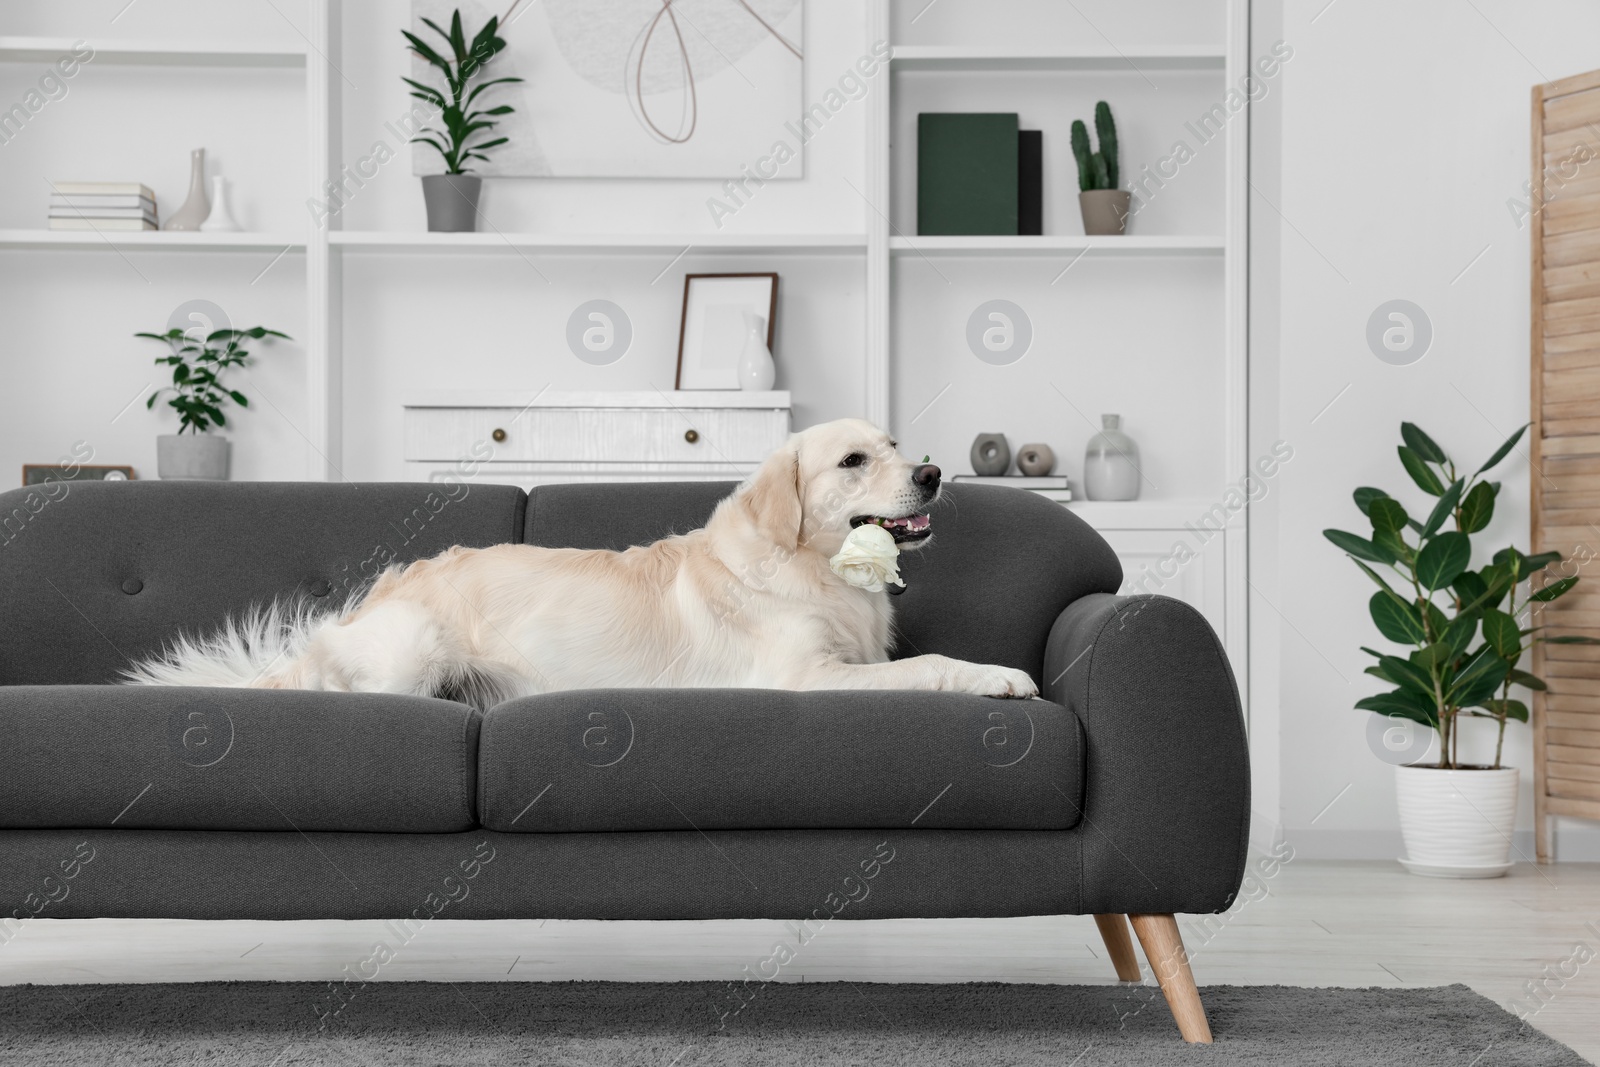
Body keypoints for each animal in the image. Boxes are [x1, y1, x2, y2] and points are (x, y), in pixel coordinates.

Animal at [124, 419, 1036, 710]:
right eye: (853, 460)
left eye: (894, 445)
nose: (933, 472)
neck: (809, 567)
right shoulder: (806, 679)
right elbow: (932, 663)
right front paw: (1000, 675)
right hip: (410, 654)